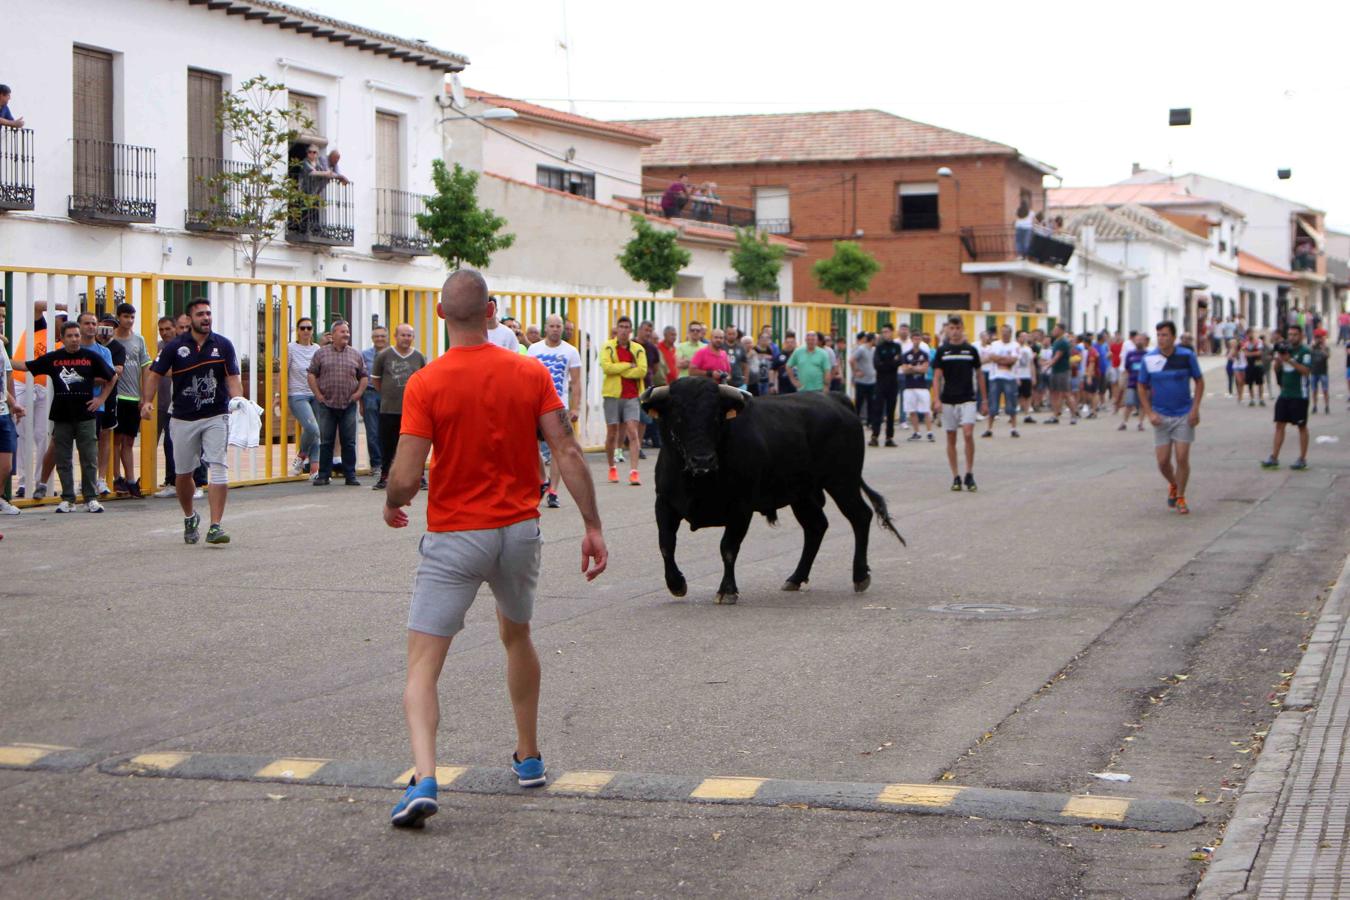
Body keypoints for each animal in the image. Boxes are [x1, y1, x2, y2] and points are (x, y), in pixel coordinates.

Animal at [634, 377, 907, 604]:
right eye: (677, 415)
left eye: (716, 417)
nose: (703, 460)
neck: (698, 482)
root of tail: (835, 399)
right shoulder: (664, 504)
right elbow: (666, 544)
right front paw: (676, 584)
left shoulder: (741, 508)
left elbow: (728, 548)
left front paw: (727, 590)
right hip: (804, 495)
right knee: (816, 527)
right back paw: (795, 578)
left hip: (843, 482)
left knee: (860, 517)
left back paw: (859, 575)